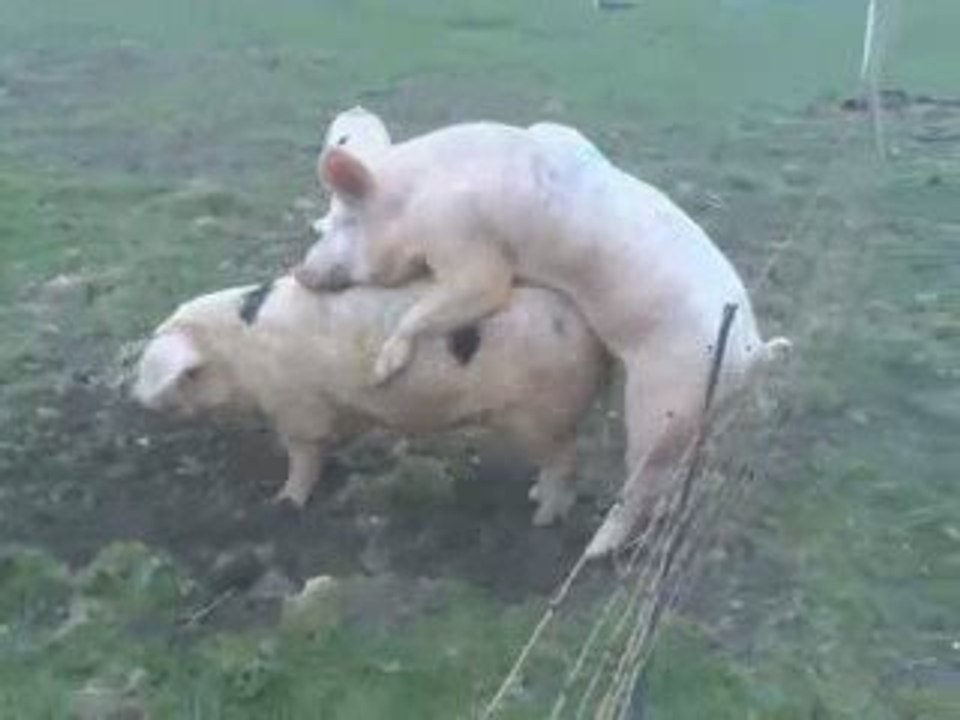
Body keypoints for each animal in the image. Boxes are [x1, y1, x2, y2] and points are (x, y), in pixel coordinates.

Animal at [131, 275, 607, 525]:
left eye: (187, 376)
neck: (239, 354)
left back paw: (543, 518)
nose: (138, 401)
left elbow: (302, 457)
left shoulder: (296, 407)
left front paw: (284, 503)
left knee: (566, 461)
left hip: (542, 412)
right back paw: (533, 496)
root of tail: (588, 330)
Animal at [294, 118, 790, 557]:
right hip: (701, 417)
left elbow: (457, 296)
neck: (414, 197)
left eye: (342, 221)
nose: (300, 271)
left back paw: (593, 549)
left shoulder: (468, 250)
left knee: (641, 482)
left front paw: (382, 370)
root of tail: (753, 354)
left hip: (665, 403)